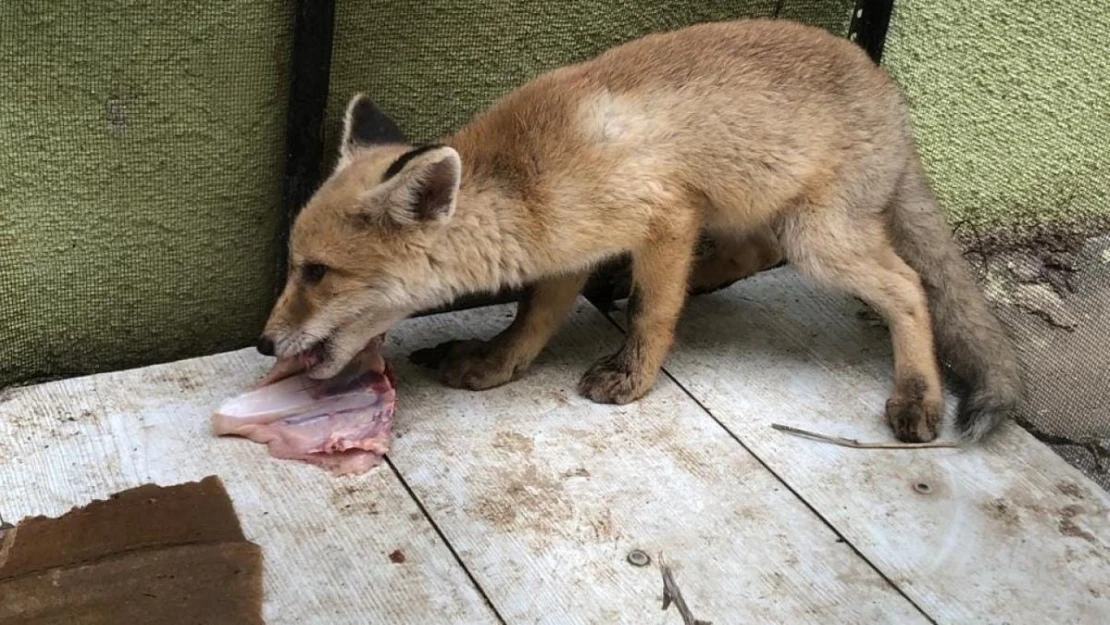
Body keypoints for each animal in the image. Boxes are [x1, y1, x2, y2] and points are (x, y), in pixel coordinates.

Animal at [255, 18, 1016, 439]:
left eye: (316, 272)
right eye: (295, 266)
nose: (263, 343)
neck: (527, 179)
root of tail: (891, 91)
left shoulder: (666, 217)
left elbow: (653, 312)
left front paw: (633, 376)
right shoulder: (568, 249)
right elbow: (530, 321)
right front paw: (495, 364)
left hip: (818, 238)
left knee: (910, 286)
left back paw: (917, 393)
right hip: (770, 215)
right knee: (756, 250)